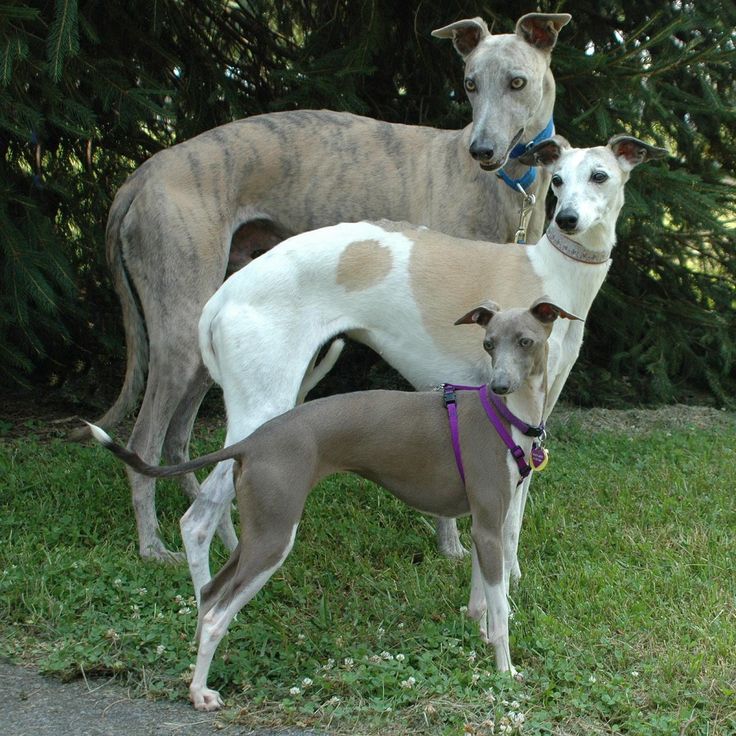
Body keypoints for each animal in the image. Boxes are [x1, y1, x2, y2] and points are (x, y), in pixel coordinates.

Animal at [183, 135, 668, 600]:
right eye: (559, 181)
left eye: (600, 176)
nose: (567, 220)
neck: (554, 274)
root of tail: (222, 296)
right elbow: (508, 519)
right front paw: (508, 584)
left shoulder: (534, 415)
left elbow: (510, 518)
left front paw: (492, 567)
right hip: (263, 409)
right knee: (197, 520)